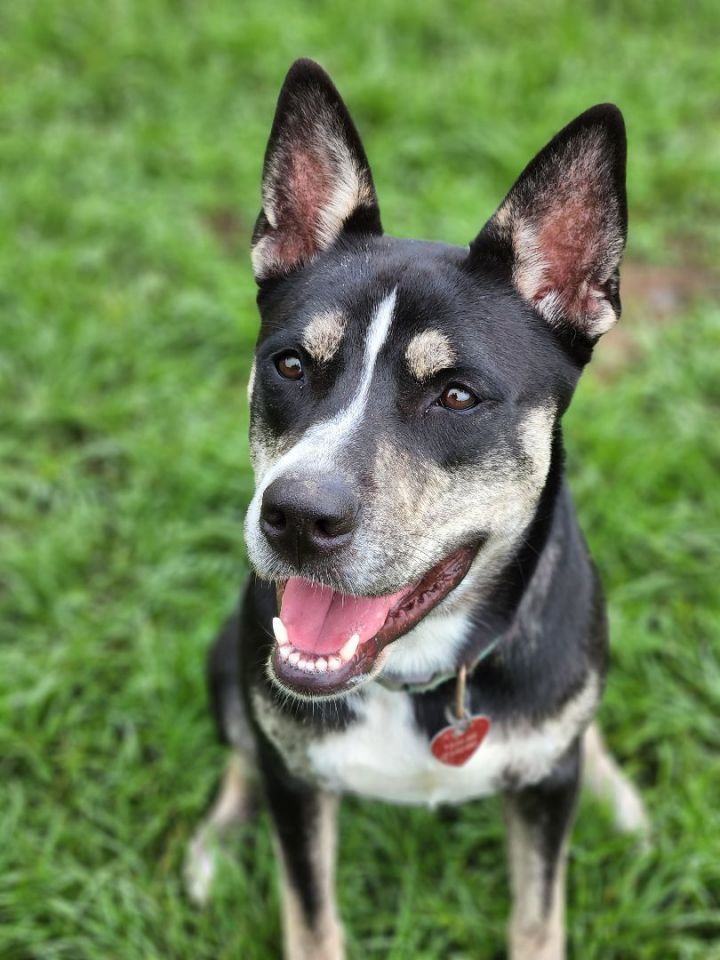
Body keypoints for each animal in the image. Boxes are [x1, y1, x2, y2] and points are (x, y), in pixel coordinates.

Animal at [184, 60, 648, 960]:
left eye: (456, 395)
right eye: (289, 365)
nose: (296, 516)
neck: (418, 673)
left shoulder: (546, 796)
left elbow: (539, 916)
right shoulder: (295, 782)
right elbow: (310, 914)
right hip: (230, 661)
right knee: (240, 750)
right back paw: (216, 843)